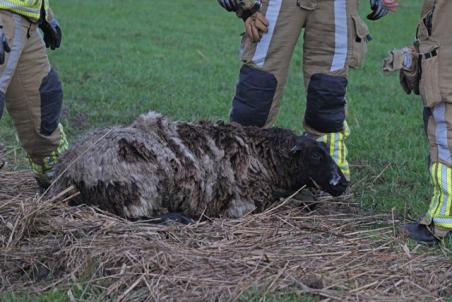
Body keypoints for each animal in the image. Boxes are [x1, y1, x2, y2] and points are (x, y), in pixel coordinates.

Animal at [52, 112, 350, 221]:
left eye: (327, 152)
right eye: (315, 156)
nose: (343, 184)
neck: (262, 156)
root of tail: (66, 172)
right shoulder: (243, 203)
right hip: (138, 188)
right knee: (138, 217)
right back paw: (181, 217)